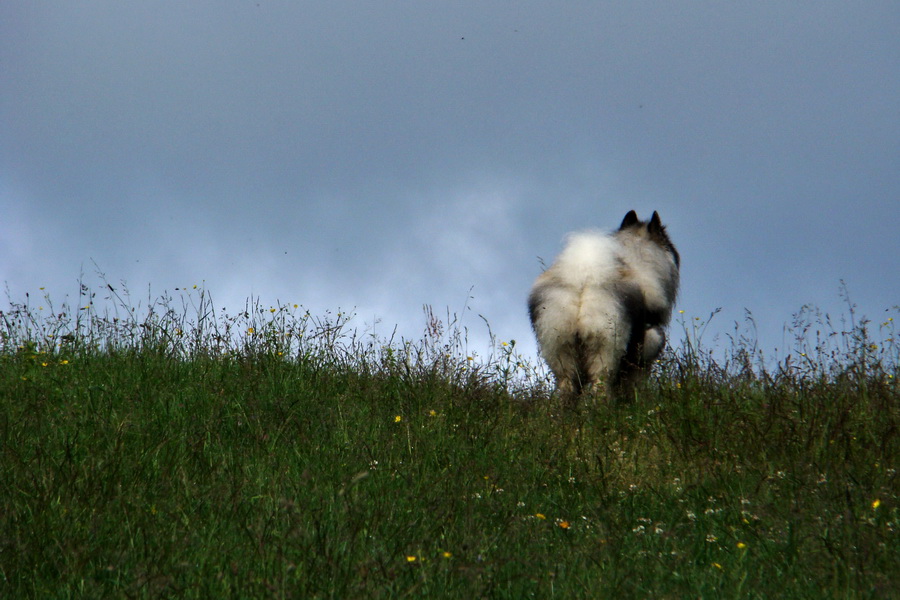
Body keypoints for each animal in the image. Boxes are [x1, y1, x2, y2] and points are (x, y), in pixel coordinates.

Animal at [524, 211, 680, 404]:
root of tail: (582, 282)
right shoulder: (647, 349)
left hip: (560, 348)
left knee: (566, 387)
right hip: (605, 348)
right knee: (600, 386)